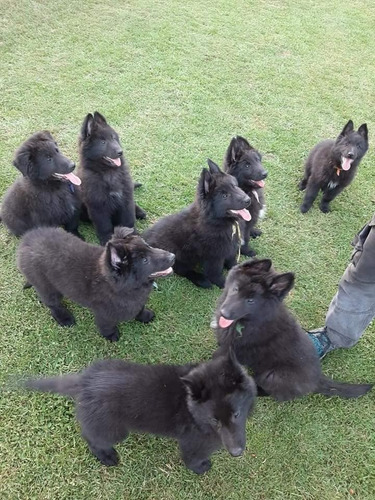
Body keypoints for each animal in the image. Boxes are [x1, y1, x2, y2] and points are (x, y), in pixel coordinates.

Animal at [16, 228, 176, 342]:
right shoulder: (103, 313)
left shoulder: (137, 300)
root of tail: (25, 241)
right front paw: (111, 335)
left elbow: (139, 308)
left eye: (148, 246)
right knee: (52, 304)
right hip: (46, 285)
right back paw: (64, 318)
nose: (173, 256)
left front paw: (145, 316)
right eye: (144, 260)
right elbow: (106, 324)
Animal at [24, 352, 258, 472]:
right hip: (115, 430)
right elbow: (194, 457)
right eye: (214, 420)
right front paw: (199, 468)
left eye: (237, 414)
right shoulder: (194, 442)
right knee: (91, 437)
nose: (236, 453)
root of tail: (85, 381)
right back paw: (106, 456)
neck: (191, 408)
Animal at [78, 113, 146, 246]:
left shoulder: (125, 200)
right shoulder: (98, 206)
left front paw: (134, 236)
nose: (120, 152)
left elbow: (129, 220)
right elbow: (104, 226)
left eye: (114, 138)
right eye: (103, 142)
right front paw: (107, 240)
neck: (109, 173)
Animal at [144, 158, 253, 288]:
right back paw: (200, 279)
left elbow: (232, 261)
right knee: (181, 269)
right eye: (225, 195)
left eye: (235, 186)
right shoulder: (214, 256)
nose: (248, 200)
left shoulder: (230, 248)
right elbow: (215, 273)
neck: (217, 221)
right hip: (181, 254)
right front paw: (223, 283)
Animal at [214, 260, 374, 400]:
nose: (224, 313)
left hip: (273, 376)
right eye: (235, 289)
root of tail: (318, 379)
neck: (249, 321)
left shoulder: (235, 349)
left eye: (250, 301)